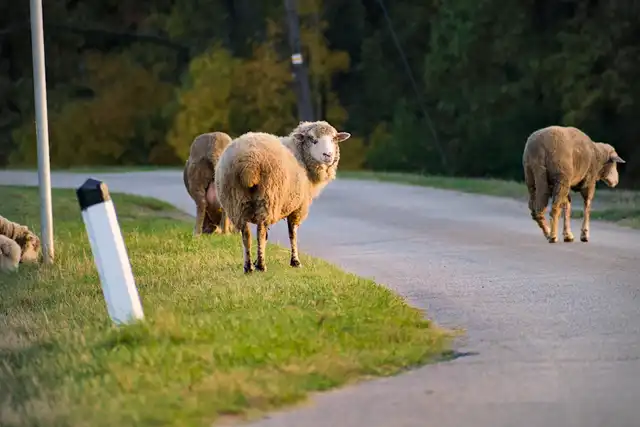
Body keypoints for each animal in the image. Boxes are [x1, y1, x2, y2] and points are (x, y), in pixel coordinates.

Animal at [218, 120, 352, 274]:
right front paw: (295, 261)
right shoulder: (298, 207)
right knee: (260, 231)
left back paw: (249, 266)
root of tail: (248, 163)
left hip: (235, 201)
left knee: (246, 234)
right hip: (269, 197)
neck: (300, 156)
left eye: (333, 139)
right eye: (313, 140)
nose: (328, 155)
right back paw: (261, 266)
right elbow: (292, 233)